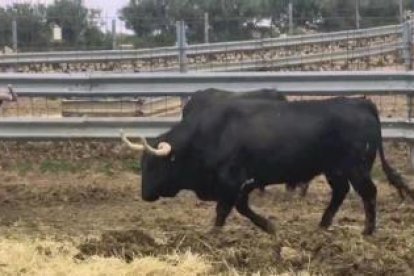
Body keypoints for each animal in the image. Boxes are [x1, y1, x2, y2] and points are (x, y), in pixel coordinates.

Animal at [122, 96, 414, 234]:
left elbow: (226, 209)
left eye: (155, 166)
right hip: (335, 170)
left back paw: (367, 230)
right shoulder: (242, 184)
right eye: (142, 164)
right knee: (340, 193)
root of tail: (360, 102)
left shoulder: (234, 181)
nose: (144, 195)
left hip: (356, 167)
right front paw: (268, 226)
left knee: (369, 193)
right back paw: (322, 224)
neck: (210, 133)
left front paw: (215, 232)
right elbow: (238, 208)